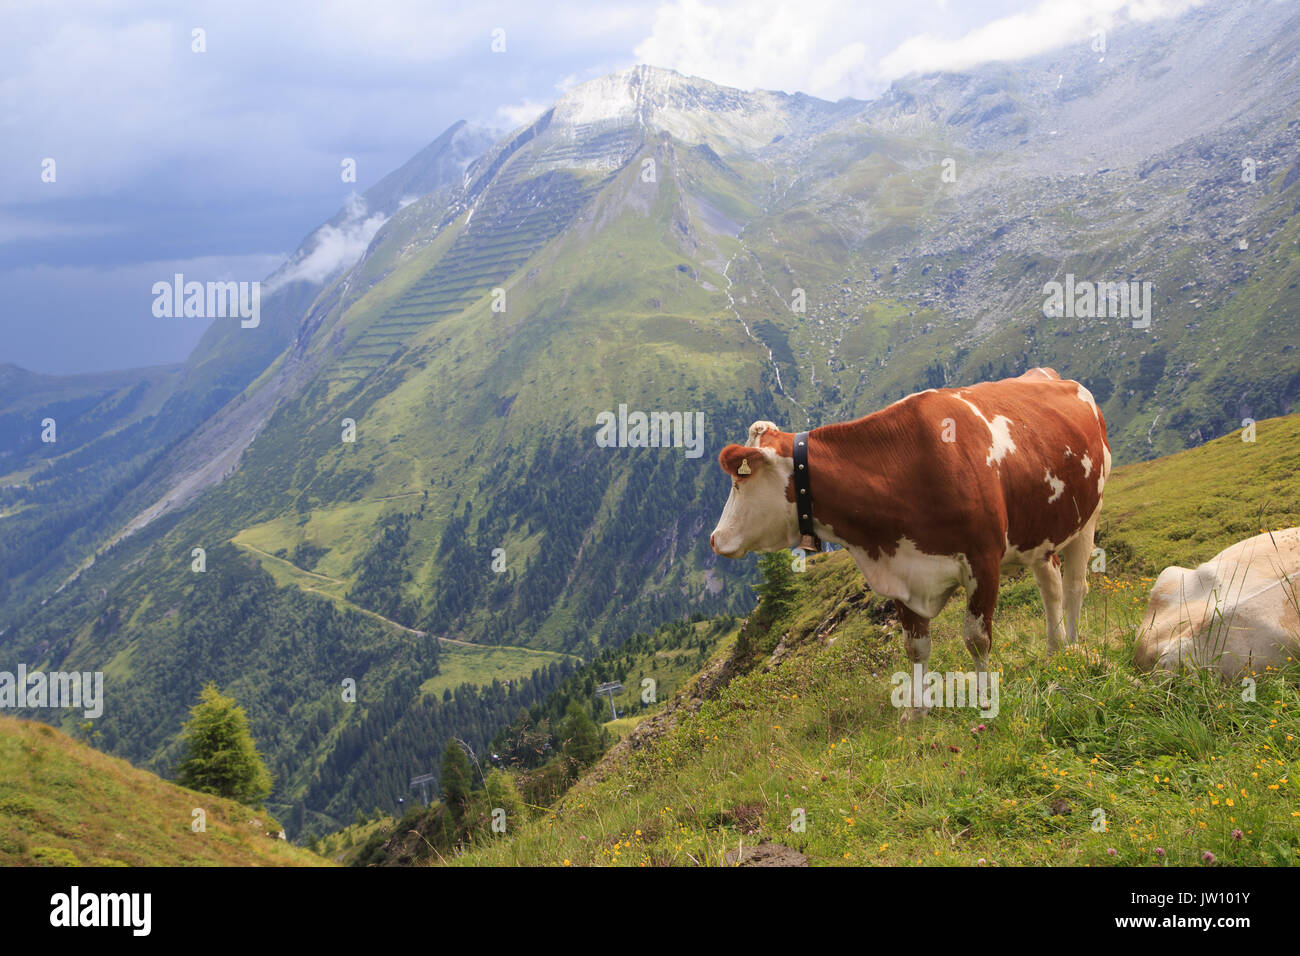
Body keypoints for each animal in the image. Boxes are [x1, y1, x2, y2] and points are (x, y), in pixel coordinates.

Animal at [709, 368, 1111, 719]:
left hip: (1088, 516)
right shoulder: (901, 571)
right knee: (1051, 587)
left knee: (1075, 587)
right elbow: (916, 647)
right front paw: (916, 712)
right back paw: (1055, 650)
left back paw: (1074, 649)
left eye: (739, 481)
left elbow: (977, 638)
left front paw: (985, 700)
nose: (715, 539)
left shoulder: (984, 561)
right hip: (1041, 535)